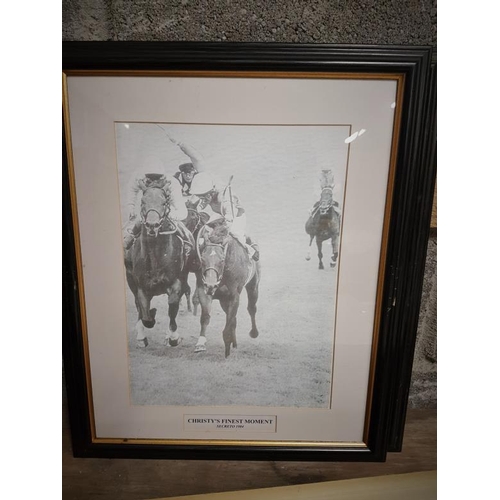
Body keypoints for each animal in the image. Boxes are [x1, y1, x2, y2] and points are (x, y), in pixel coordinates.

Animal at [124, 186, 188, 346]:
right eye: (142, 201)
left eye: (164, 202)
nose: (152, 225)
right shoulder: (141, 287)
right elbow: (145, 315)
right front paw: (150, 317)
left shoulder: (175, 282)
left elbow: (173, 305)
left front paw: (173, 336)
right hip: (130, 279)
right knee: (137, 305)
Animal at [193, 221, 260, 358]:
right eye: (203, 258)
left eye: (222, 259)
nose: (211, 285)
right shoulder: (204, 290)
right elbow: (206, 317)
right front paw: (200, 343)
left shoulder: (234, 295)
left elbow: (229, 321)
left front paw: (227, 346)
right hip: (223, 300)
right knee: (233, 318)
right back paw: (235, 343)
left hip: (253, 286)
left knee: (251, 308)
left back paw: (254, 332)